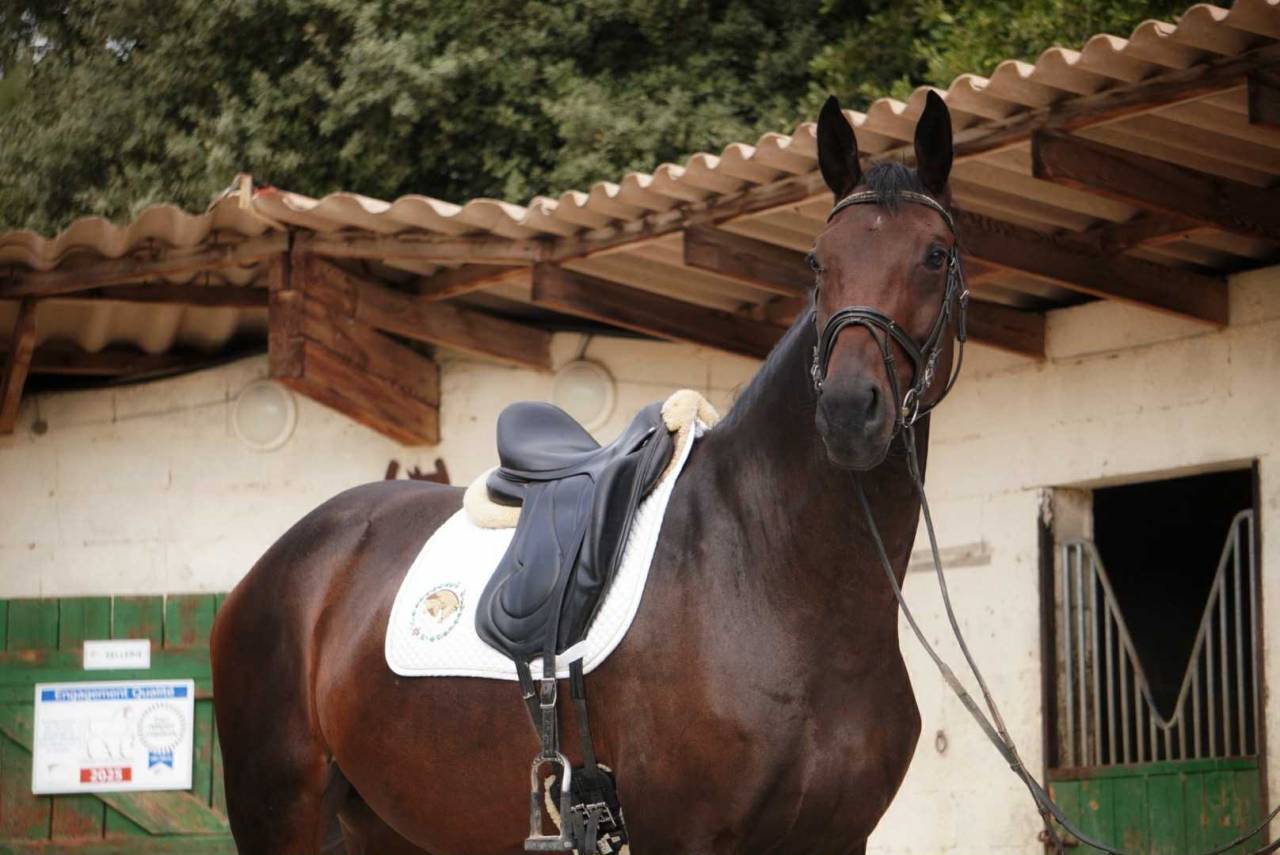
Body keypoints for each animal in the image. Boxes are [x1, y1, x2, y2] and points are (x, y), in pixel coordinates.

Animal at [210, 90, 964, 855]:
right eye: (817, 262)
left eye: (936, 255)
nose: (847, 411)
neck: (775, 577)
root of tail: (273, 568)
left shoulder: (839, 837)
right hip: (278, 810)